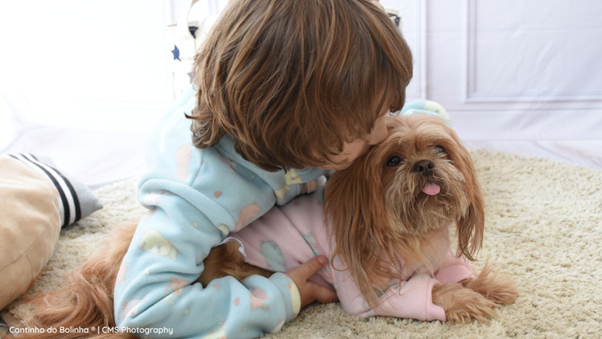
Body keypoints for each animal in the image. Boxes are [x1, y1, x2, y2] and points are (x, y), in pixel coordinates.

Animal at [19, 114, 516, 339]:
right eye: (393, 160)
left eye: (440, 149)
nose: (424, 165)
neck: (412, 232)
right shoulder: (366, 293)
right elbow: (430, 291)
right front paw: (462, 299)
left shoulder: (439, 256)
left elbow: (455, 273)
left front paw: (485, 285)